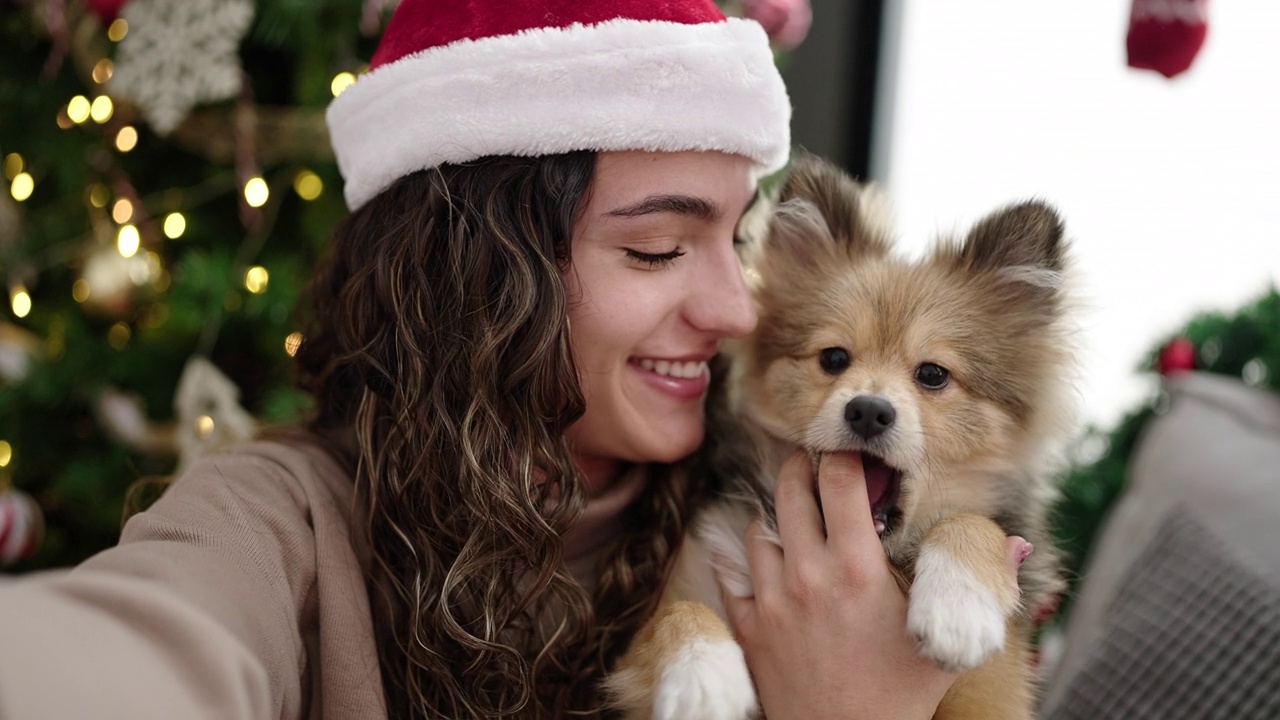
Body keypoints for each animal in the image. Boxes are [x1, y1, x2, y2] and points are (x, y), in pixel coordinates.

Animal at [604, 152, 1075, 717]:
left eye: (933, 374)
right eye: (833, 358)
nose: (868, 411)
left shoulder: (992, 692)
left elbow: (969, 521)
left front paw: (958, 609)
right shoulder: (687, 588)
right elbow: (674, 617)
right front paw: (704, 680)